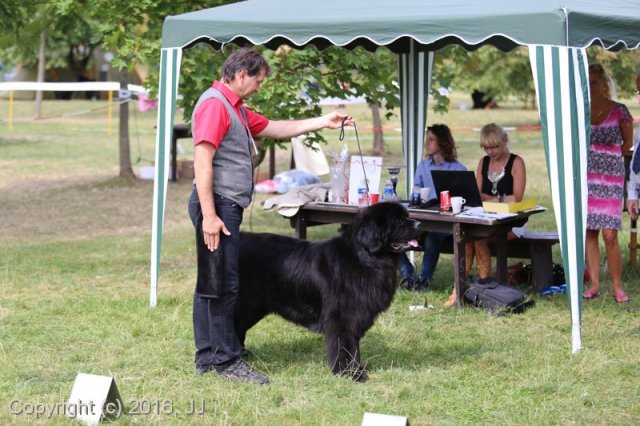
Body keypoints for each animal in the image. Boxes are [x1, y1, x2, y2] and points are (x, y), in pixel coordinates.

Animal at [235, 201, 420, 382]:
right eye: (400, 221)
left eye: (406, 216)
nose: (419, 224)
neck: (364, 259)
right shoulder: (341, 318)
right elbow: (345, 346)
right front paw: (349, 373)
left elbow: (353, 347)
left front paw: (356, 369)